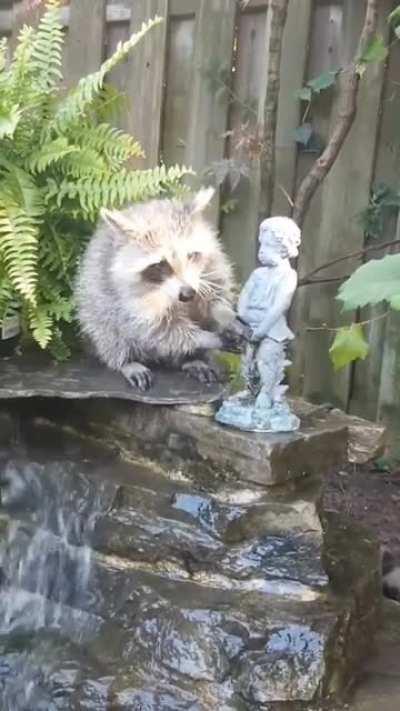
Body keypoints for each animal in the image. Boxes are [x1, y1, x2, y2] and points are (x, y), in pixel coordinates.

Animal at [75, 188, 243, 390]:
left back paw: (192, 359)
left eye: (191, 255)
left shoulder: (210, 269)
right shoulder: (130, 300)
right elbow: (162, 330)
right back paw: (126, 361)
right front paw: (206, 338)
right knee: (108, 331)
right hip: (94, 300)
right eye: (161, 264)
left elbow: (215, 297)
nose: (188, 294)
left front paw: (227, 315)